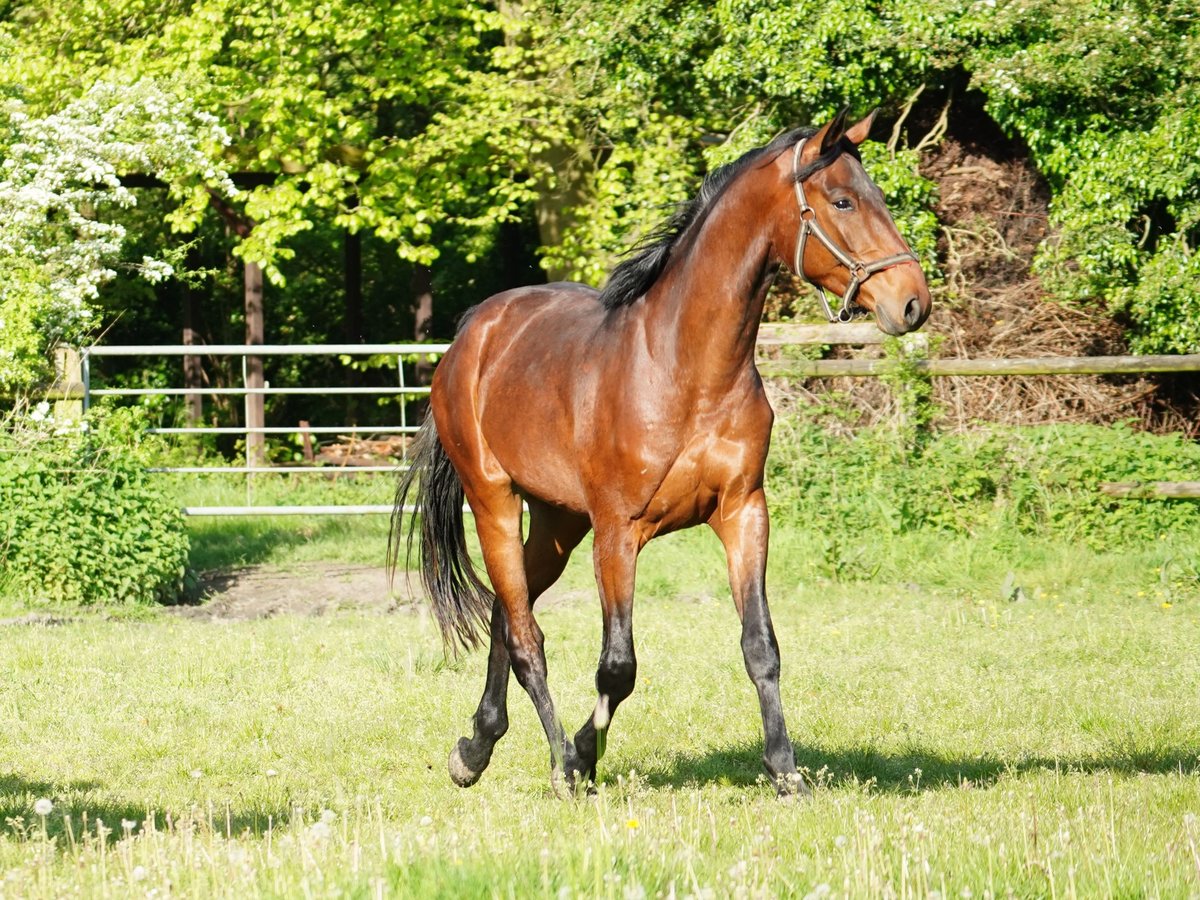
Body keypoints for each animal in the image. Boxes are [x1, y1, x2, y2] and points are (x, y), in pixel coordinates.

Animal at [388, 107, 931, 796]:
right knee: (526, 637)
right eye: (842, 200)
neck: (686, 370)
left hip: (558, 525)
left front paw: (785, 772)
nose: (913, 302)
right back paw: (555, 762)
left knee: (507, 619)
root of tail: (470, 335)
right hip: (496, 506)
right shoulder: (619, 533)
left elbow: (761, 647)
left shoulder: (743, 513)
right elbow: (617, 667)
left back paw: (475, 748)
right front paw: (582, 757)